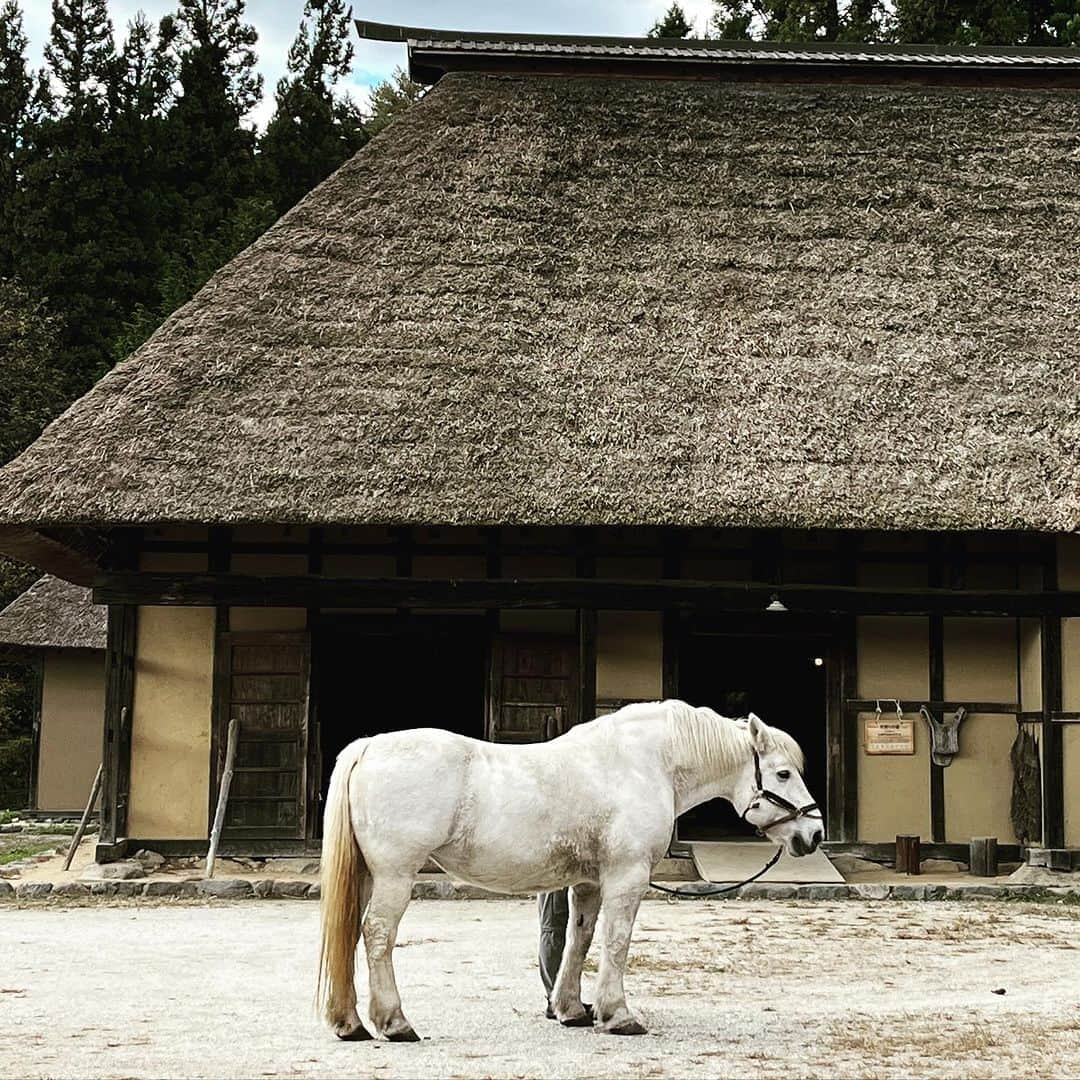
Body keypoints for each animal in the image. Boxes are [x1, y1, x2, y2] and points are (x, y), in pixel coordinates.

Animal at [315, 695, 820, 1041]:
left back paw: (349, 1022)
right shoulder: (626, 878)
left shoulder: (588, 883)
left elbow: (580, 941)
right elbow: (617, 942)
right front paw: (619, 1015)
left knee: (350, 932)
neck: (645, 764)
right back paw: (395, 1022)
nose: (813, 833)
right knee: (378, 935)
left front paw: (572, 1010)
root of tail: (368, 748)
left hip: (366, 877)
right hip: (396, 876)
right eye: (782, 774)